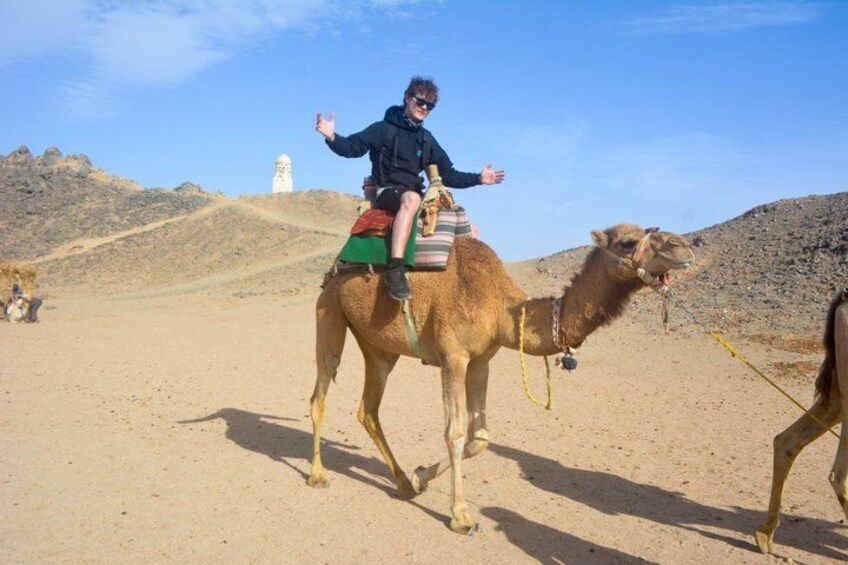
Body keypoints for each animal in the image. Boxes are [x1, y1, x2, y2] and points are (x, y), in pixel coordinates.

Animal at [308, 223, 695, 533]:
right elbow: (455, 433)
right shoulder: (453, 357)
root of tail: (334, 268)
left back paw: (403, 483)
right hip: (329, 313)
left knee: (368, 410)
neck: (499, 305)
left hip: (379, 347)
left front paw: (420, 475)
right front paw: (461, 517)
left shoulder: (482, 361)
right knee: (320, 393)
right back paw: (317, 475)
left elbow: (480, 439)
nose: (684, 246)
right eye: (628, 242)